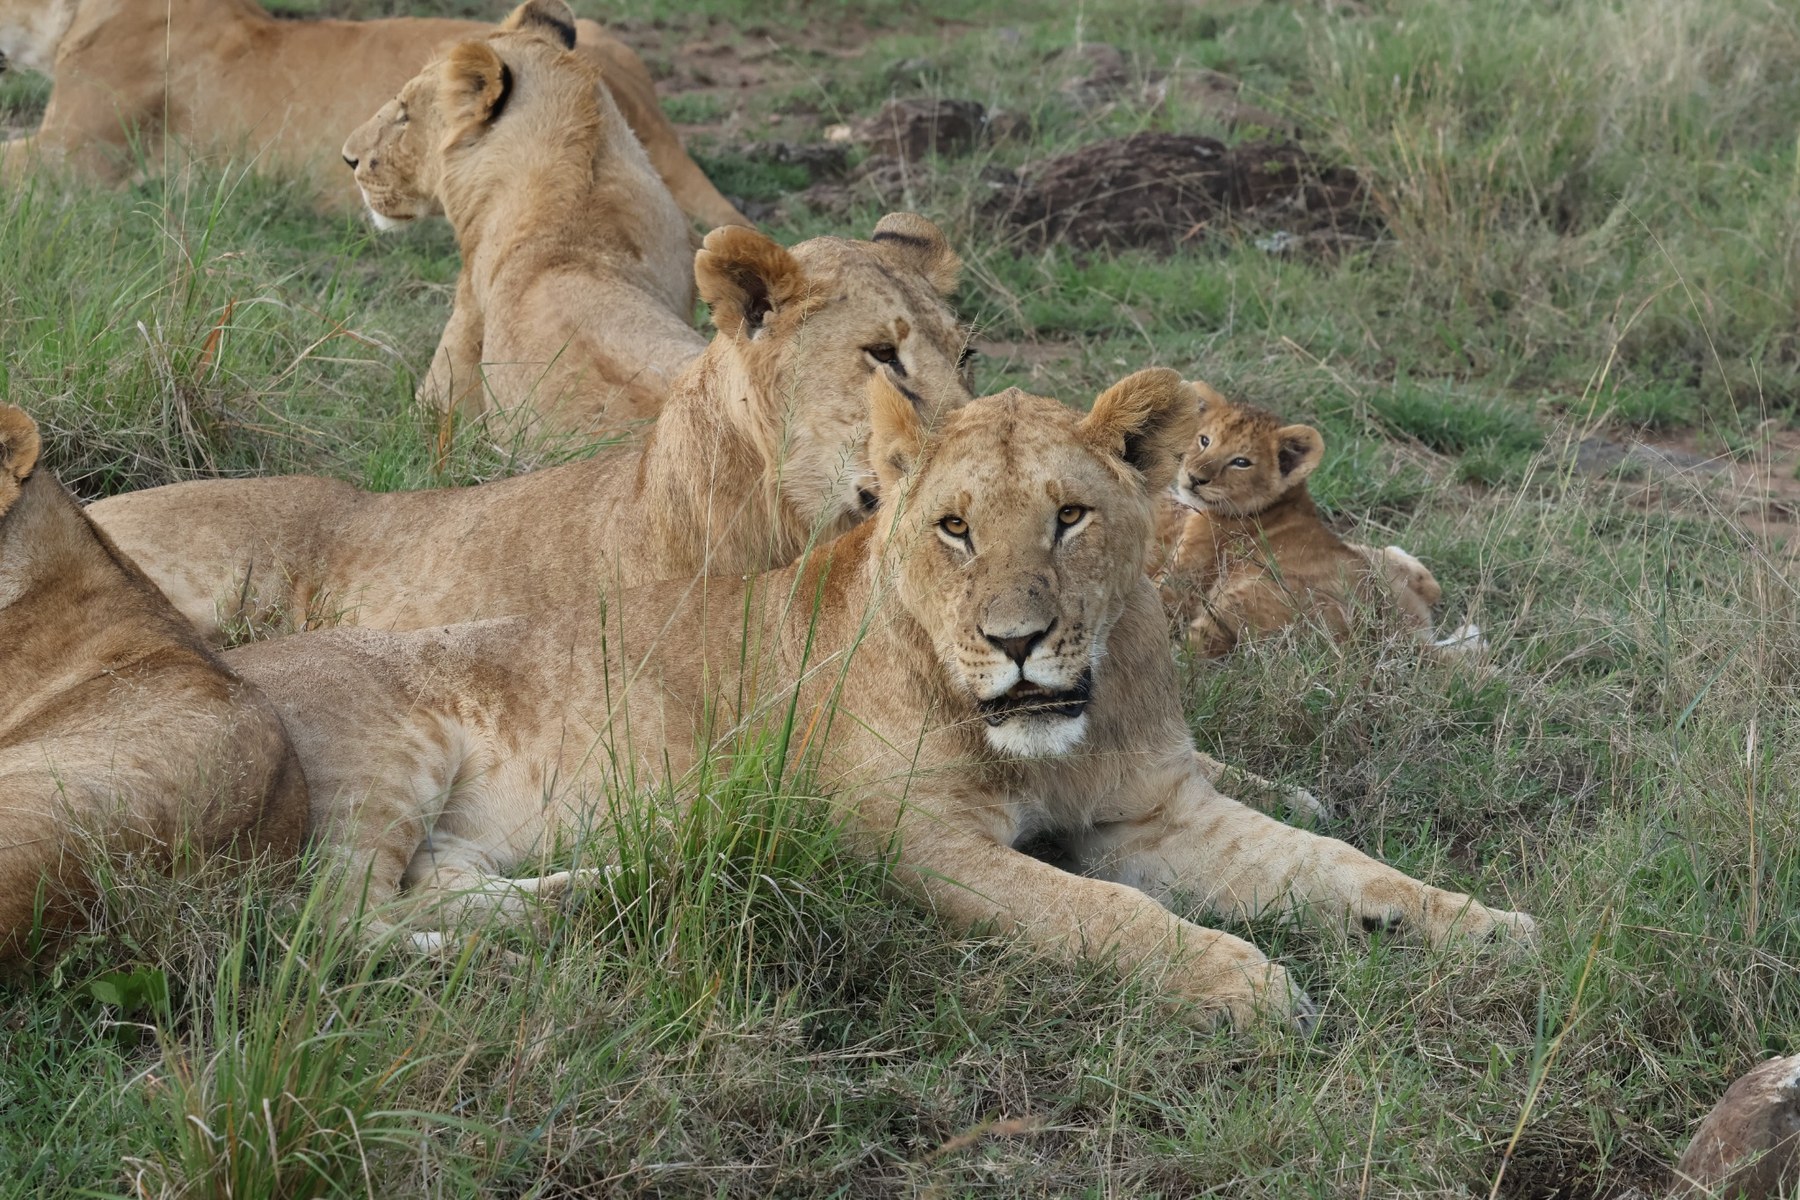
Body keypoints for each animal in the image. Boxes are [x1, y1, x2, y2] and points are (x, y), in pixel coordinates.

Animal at [1156, 382, 1446, 657]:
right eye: (1204, 440)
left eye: (1241, 462)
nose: (1194, 478)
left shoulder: (1188, 574)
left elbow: (1162, 593)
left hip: (1242, 598)